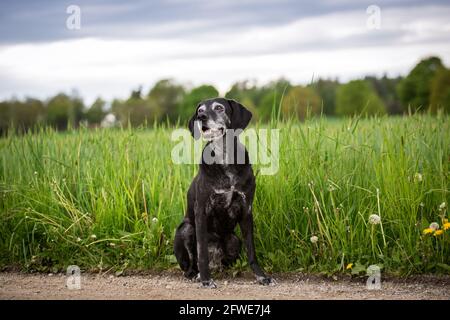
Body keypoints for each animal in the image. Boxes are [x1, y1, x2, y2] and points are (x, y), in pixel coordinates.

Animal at [173, 97, 272, 288]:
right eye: (200, 110)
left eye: (219, 108)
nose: (201, 117)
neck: (224, 156)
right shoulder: (201, 210)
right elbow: (201, 252)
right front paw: (206, 279)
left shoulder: (246, 209)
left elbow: (252, 251)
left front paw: (261, 276)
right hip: (185, 229)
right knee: (190, 267)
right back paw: (197, 274)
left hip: (234, 240)